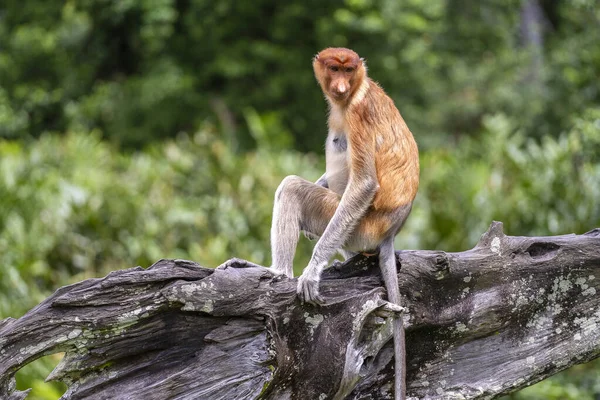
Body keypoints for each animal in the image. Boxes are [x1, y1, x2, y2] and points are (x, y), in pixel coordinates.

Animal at [270, 47, 420, 400]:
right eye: (334, 69)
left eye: (348, 70)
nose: (340, 86)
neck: (355, 91)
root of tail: (390, 232)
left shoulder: (357, 114)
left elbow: (363, 184)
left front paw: (311, 272)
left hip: (358, 226)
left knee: (291, 188)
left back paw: (279, 274)